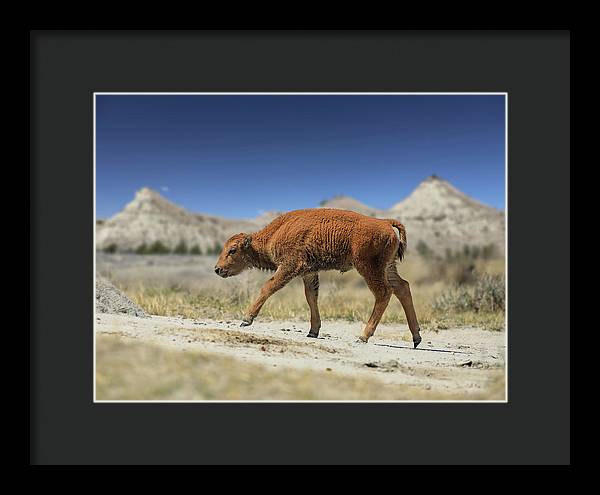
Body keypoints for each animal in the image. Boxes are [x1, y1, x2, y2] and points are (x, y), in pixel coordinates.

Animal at [214, 207, 422, 346]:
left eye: (232, 250)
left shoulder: (289, 267)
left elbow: (268, 286)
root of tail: (385, 223)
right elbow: (311, 297)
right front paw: (313, 332)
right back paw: (416, 337)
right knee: (402, 287)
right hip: (388, 267)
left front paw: (246, 319)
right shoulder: (309, 273)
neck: (274, 233)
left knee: (384, 293)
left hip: (369, 268)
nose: (217, 269)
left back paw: (363, 336)